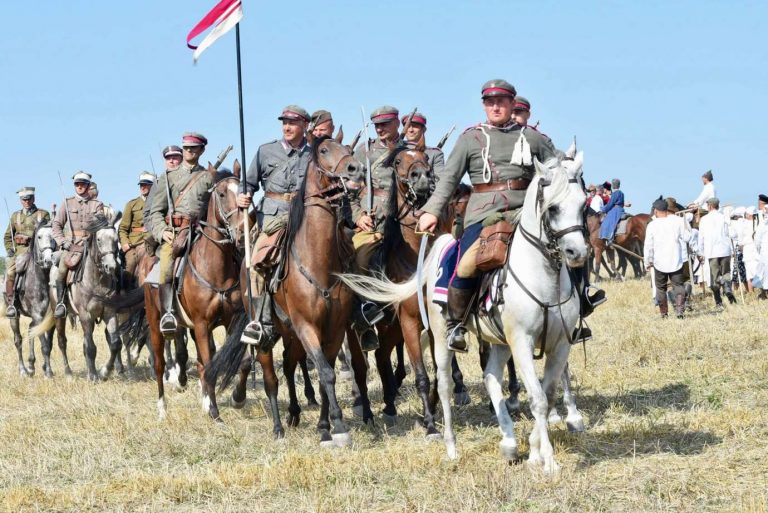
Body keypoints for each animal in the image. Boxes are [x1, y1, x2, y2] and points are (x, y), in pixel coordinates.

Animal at [2, 223, 59, 376]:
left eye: (53, 236)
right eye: (39, 237)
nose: (48, 260)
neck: (41, 279)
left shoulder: (48, 318)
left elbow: (48, 343)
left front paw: (46, 368)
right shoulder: (38, 316)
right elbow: (44, 345)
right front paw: (48, 372)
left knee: (30, 330)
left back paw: (31, 365)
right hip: (14, 316)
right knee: (18, 340)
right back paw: (23, 370)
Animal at [208, 135, 368, 444]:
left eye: (347, 149)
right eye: (324, 150)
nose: (355, 168)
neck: (318, 261)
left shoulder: (334, 329)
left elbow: (325, 373)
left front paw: (325, 427)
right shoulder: (307, 327)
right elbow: (325, 372)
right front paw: (338, 426)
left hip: (289, 332)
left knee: (291, 364)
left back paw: (294, 413)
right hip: (268, 334)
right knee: (271, 378)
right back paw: (278, 427)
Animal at [340, 153, 588, 472]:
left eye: (583, 204)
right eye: (553, 207)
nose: (576, 253)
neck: (543, 276)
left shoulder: (559, 344)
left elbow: (547, 392)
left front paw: (535, 450)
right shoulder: (521, 341)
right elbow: (538, 399)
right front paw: (548, 461)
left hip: (495, 341)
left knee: (490, 376)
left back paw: (508, 442)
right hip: (436, 337)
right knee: (442, 383)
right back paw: (449, 445)